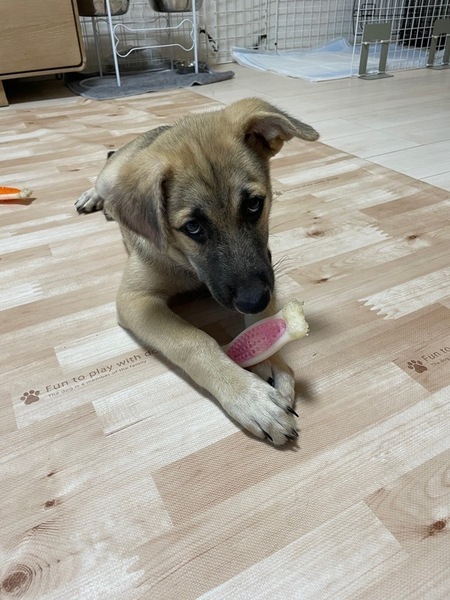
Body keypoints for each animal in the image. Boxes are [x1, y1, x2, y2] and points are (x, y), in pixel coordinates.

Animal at [75, 98, 319, 445]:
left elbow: (264, 321)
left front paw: (271, 360)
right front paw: (249, 397)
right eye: (193, 227)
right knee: (102, 181)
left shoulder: (266, 264)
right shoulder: (136, 300)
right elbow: (192, 341)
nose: (253, 300)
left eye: (254, 205)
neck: (187, 265)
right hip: (109, 176)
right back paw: (96, 198)